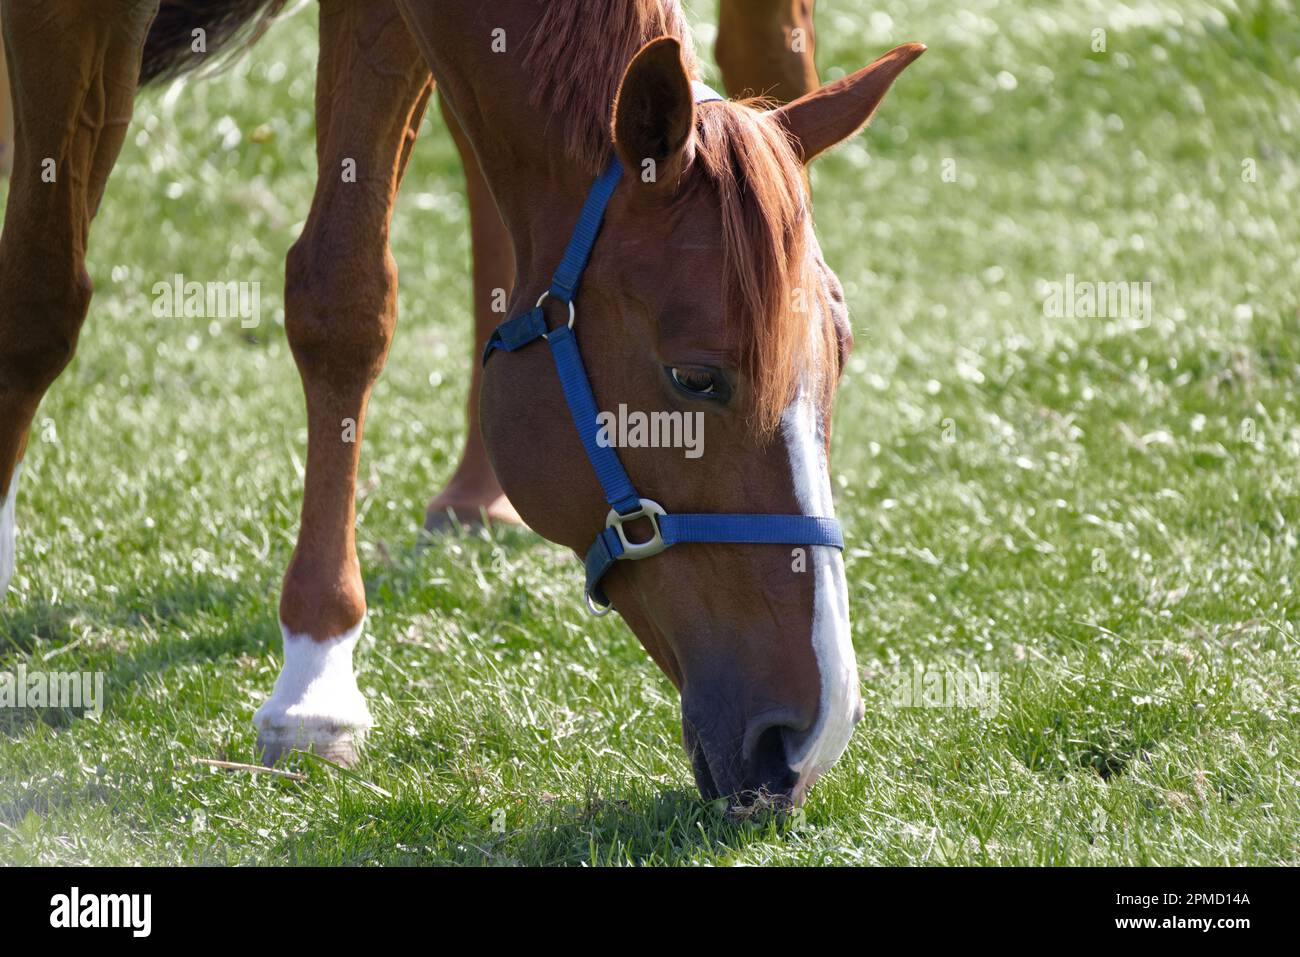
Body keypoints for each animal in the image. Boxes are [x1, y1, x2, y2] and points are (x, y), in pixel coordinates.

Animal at [0, 1, 925, 806]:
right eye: (695, 378)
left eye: (840, 357)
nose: (812, 735)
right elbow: (42, 298)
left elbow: (344, 293)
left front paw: (315, 674)